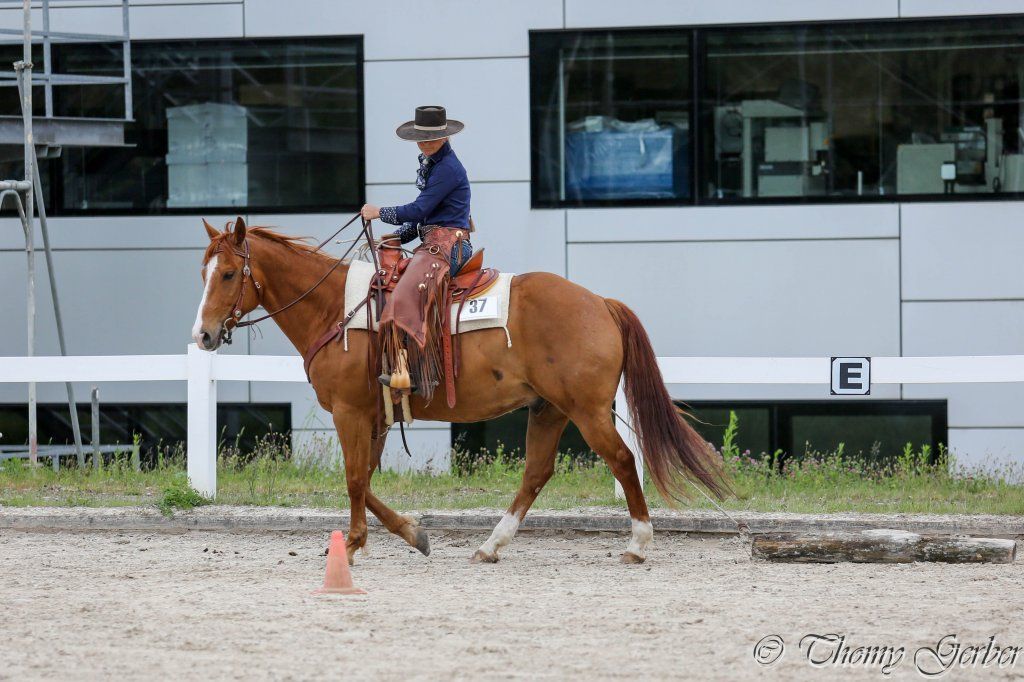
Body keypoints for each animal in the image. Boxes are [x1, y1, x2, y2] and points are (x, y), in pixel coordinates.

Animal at [191, 217, 729, 565]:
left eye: (229, 273)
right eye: (203, 272)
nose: (204, 335)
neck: (335, 308)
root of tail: (599, 302)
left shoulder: (350, 412)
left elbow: (354, 479)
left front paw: (358, 543)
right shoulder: (376, 415)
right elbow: (367, 479)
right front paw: (412, 534)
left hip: (588, 411)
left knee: (621, 459)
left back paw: (637, 544)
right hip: (549, 409)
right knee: (537, 472)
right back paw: (491, 545)